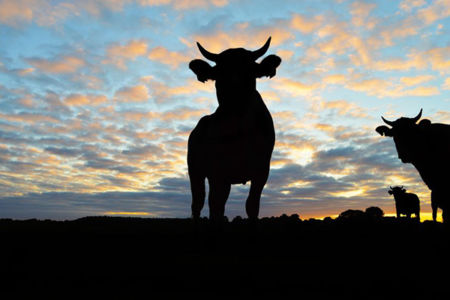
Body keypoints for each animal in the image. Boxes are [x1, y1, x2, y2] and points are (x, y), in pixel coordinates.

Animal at [187, 36, 282, 221]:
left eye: (249, 71)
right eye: (220, 73)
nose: (235, 91)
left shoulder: (262, 170)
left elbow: (252, 205)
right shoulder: (216, 171)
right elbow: (215, 205)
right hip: (195, 171)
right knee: (199, 202)